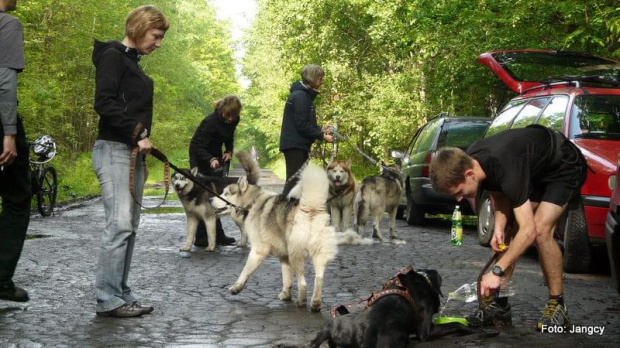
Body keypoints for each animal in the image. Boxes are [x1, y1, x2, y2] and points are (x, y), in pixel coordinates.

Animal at [213, 164, 340, 312]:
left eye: (225, 194)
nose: (210, 199)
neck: (252, 203)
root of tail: (311, 209)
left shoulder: (258, 251)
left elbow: (245, 272)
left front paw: (236, 288)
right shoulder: (284, 256)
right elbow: (286, 278)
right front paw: (286, 294)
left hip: (295, 255)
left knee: (303, 283)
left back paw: (301, 301)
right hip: (317, 256)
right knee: (319, 279)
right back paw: (315, 303)